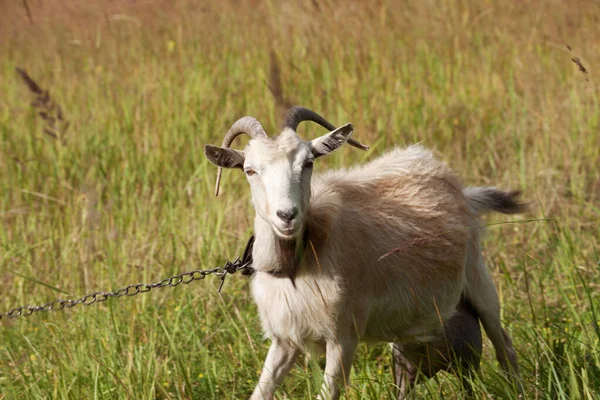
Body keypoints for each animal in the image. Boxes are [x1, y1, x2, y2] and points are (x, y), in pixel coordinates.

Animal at [204, 106, 524, 400]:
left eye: (308, 163)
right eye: (250, 170)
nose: (287, 215)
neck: (299, 263)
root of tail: (461, 190)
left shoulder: (343, 336)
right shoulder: (285, 339)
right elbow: (261, 392)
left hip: (479, 280)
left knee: (505, 348)